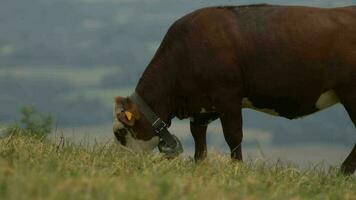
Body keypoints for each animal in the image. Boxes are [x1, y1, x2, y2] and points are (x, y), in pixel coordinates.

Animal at [114, 3, 356, 174]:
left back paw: (341, 174)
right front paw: (199, 166)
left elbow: (233, 135)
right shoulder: (202, 106)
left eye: (120, 134)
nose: (121, 166)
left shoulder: (227, 96)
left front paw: (237, 169)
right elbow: (198, 138)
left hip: (350, 93)